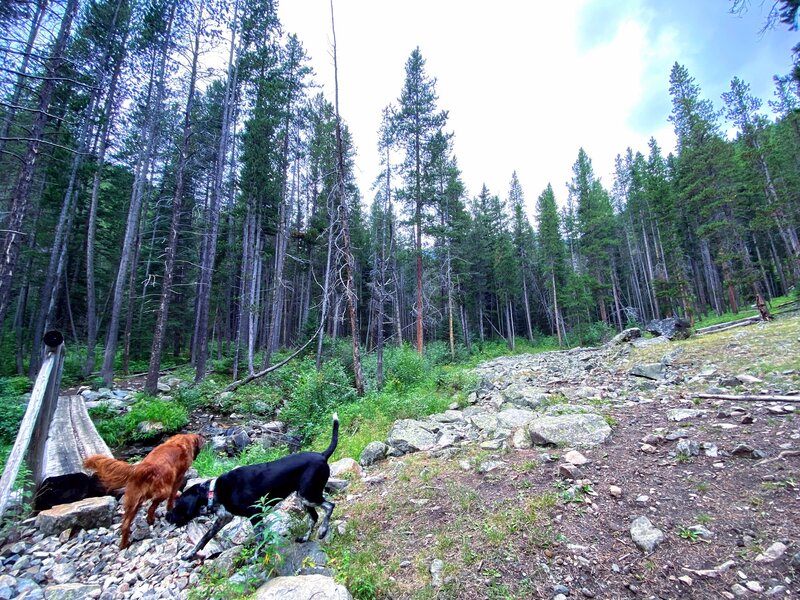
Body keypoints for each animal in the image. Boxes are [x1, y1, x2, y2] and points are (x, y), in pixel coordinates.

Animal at [167, 412, 340, 556]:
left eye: (177, 505)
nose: (167, 517)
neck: (214, 491)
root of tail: (322, 455)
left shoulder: (255, 515)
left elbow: (259, 539)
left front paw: (256, 557)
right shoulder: (223, 518)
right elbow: (204, 538)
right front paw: (190, 554)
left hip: (308, 495)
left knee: (329, 506)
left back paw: (323, 531)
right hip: (303, 497)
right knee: (314, 517)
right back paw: (305, 538)